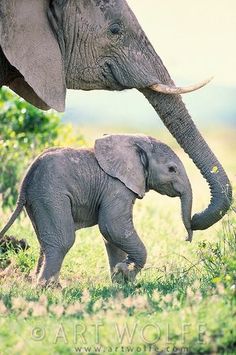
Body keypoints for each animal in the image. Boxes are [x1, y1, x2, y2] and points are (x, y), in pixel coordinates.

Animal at [0, 134, 192, 286]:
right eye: (172, 169)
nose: (187, 238)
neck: (135, 141)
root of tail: (26, 180)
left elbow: (112, 237)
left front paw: (121, 281)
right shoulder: (116, 187)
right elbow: (113, 227)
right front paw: (125, 272)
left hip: (38, 198)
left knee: (46, 242)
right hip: (50, 194)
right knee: (63, 240)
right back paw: (48, 288)